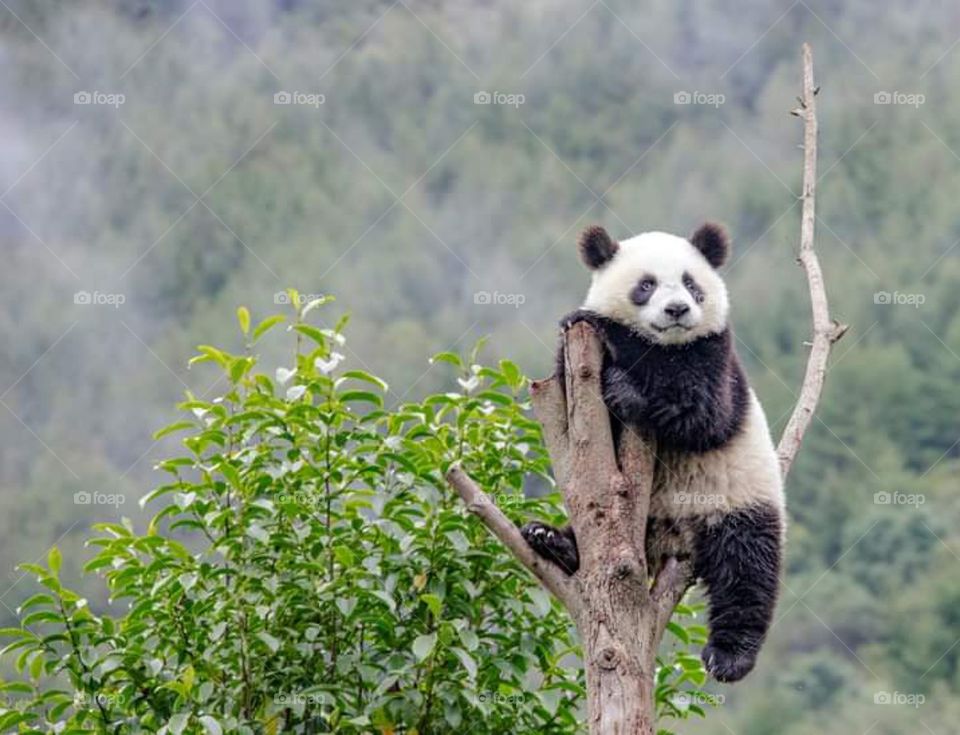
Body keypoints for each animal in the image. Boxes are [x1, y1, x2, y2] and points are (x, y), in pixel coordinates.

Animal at [521, 223, 784, 683]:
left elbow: (700, 410)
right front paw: (582, 322)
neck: (669, 344)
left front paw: (616, 355)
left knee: (747, 567)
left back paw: (730, 656)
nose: (677, 309)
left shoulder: (717, 356)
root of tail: (673, 536)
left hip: (737, 499)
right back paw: (551, 539)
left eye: (691, 283)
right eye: (646, 285)